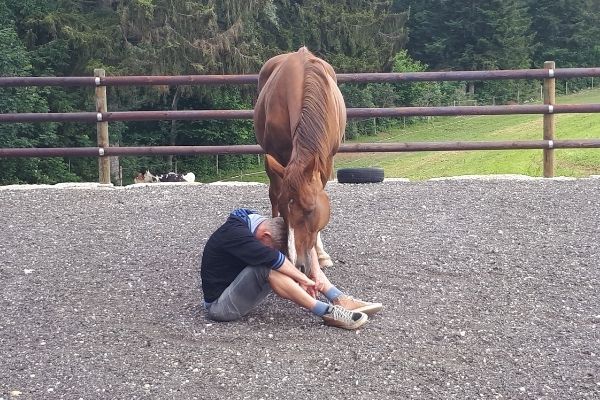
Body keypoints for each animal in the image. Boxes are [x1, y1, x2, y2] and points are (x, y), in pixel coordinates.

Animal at [253, 47, 346, 276]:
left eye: (310, 210)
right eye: (286, 211)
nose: (300, 265)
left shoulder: (326, 160)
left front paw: (320, 255)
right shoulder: (276, 156)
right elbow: (276, 195)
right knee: (272, 192)